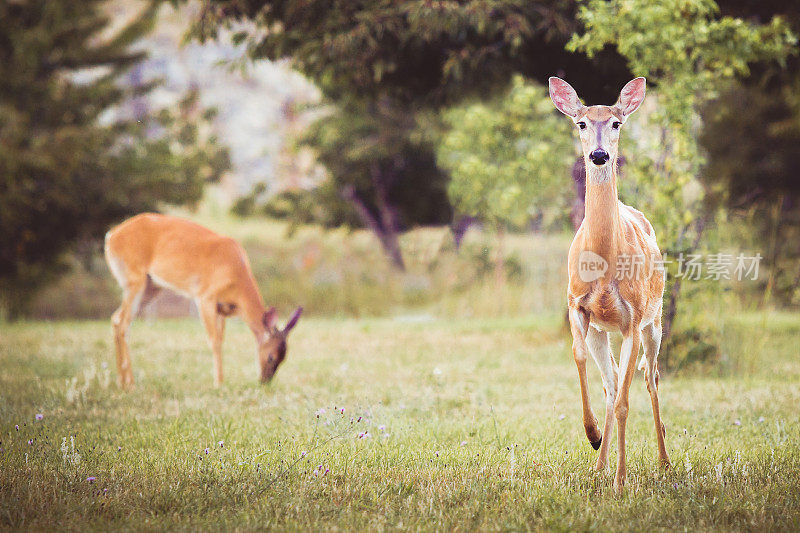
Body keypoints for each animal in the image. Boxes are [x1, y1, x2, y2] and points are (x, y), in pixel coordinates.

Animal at [105, 212, 304, 386]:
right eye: (271, 357)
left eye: (284, 358)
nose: (265, 382)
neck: (236, 276)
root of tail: (111, 236)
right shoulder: (205, 297)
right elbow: (214, 341)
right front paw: (219, 383)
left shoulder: (222, 308)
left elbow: (221, 339)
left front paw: (220, 380)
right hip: (133, 277)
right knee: (123, 323)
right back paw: (130, 383)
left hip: (151, 285)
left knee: (116, 319)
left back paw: (120, 381)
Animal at [552, 76, 668, 490]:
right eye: (582, 122)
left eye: (617, 122)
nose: (599, 155)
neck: (603, 264)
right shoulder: (577, 304)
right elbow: (580, 358)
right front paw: (592, 436)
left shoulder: (632, 317)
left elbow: (624, 403)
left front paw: (621, 481)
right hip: (603, 330)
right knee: (613, 380)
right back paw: (599, 464)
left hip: (655, 320)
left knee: (649, 379)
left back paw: (663, 461)